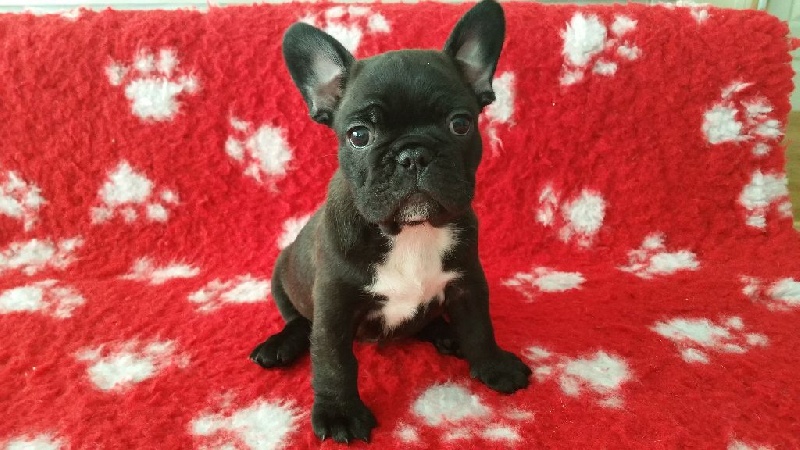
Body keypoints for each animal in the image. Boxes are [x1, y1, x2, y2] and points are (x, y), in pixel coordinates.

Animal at [250, 0, 531, 443]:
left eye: (460, 124)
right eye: (359, 135)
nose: (412, 154)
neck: (410, 232)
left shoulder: (468, 281)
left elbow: (479, 326)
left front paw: (493, 365)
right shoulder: (333, 303)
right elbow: (332, 359)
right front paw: (340, 412)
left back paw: (445, 333)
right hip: (282, 274)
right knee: (298, 320)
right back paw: (281, 344)